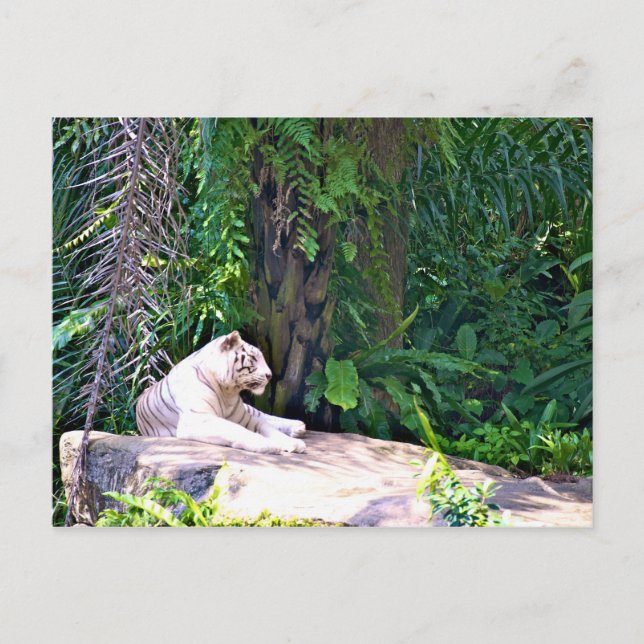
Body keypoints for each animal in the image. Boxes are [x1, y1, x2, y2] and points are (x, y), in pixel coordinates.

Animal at [135, 330, 306, 454]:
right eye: (253, 358)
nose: (270, 375)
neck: (227, 391)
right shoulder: (197, 418)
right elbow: (237, 429)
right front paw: (266, 444)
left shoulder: (245, 418)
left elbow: (266, 427)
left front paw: (293, 443)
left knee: (264, 415)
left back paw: (297, 426)